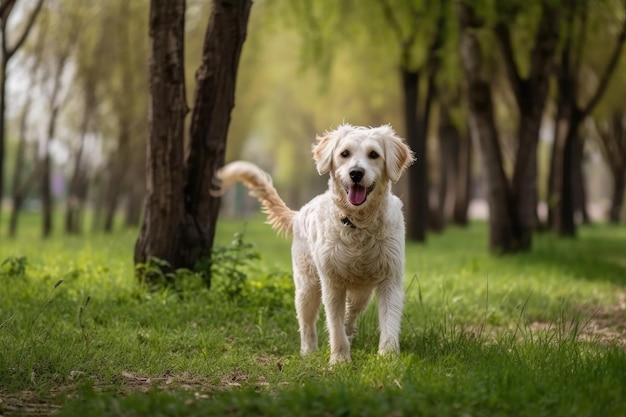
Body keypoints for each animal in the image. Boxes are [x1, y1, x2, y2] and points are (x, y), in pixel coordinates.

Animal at [212, 124, 412, 364]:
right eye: (345, 153)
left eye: (373, 154)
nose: (356, 173)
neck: (357, 225)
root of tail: (299, 213)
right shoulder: (332, 283)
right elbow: (334, 326)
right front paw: (339, 360)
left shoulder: (390, 278)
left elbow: (389, 321)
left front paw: (388, 358)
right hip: (306, 287)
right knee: (307, 323)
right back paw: (308, 351)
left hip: (361, 292)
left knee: (351, 312)